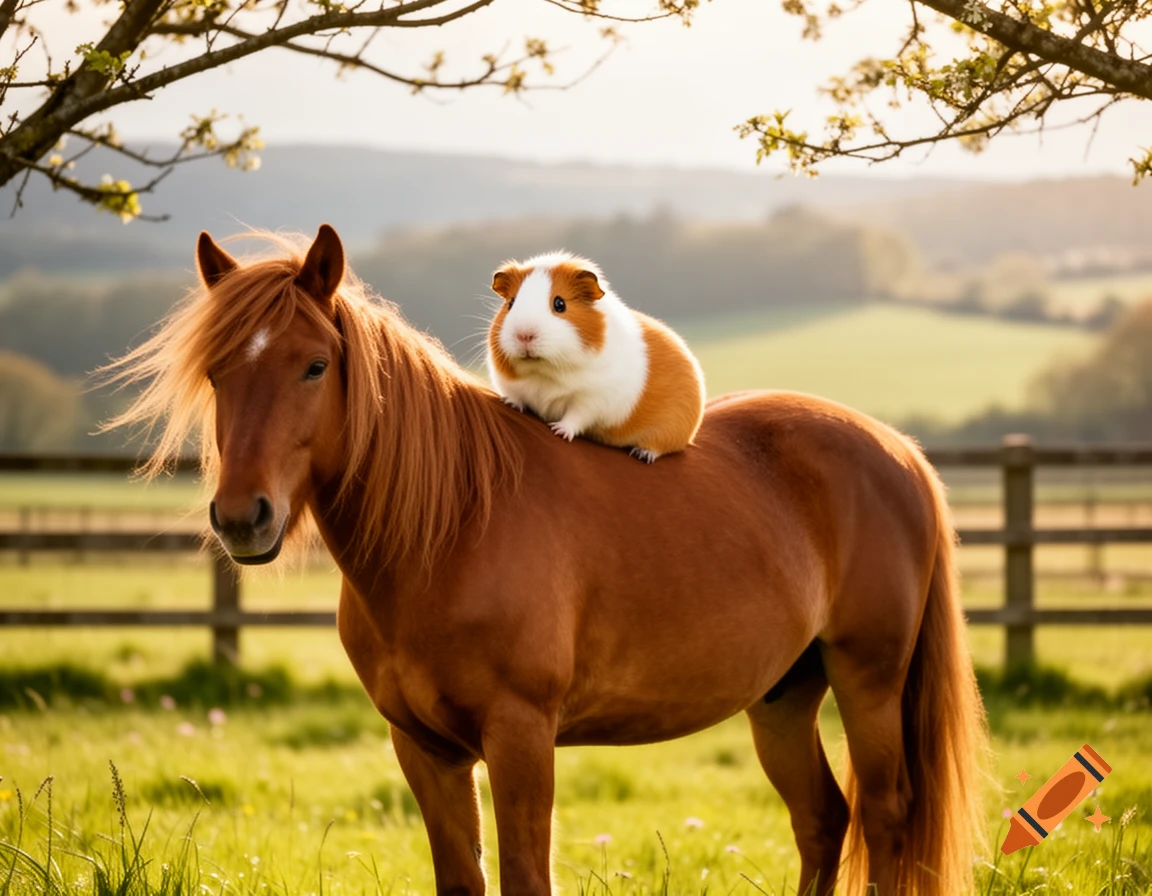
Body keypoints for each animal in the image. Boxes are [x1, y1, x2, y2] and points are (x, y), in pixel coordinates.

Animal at [106, 224, 988, 896]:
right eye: (217, 372)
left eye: (314, 366)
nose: (241, 518)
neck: (451, 530)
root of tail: (897, 449)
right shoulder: (422, 748)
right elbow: (462, 880)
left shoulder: (521, 737)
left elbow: (527, 879)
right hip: (780, 696)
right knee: (823, 819)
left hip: (868, 678)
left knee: (885, 815)